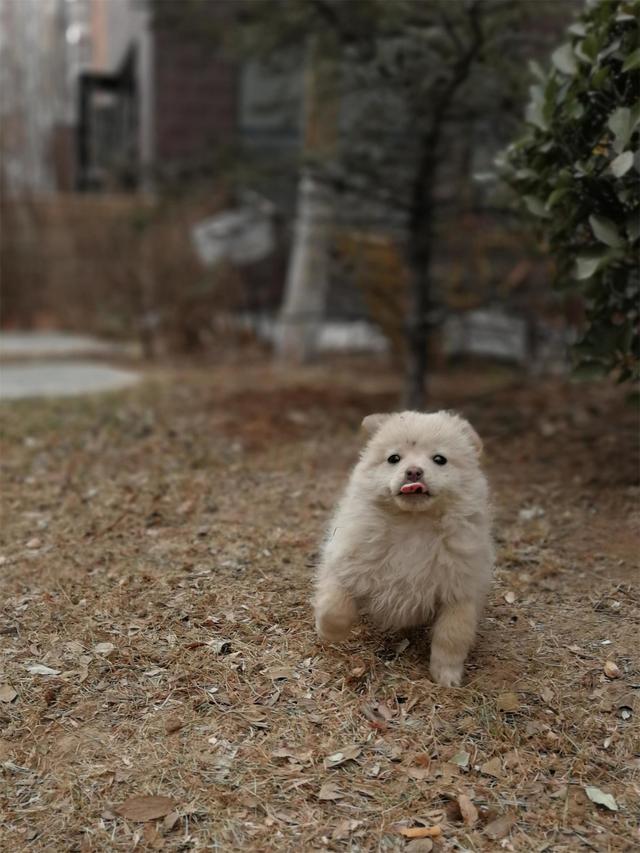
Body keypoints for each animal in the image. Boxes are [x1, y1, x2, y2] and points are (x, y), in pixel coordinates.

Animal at [312, 410, 492, 688]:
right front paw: (329, 632)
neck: (412, 523)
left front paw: (447, 676)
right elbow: (334, 606)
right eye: (394, 458)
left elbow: (452, 635)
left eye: (439, 459)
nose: (414, 472)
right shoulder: (345, 562)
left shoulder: (459, 591)